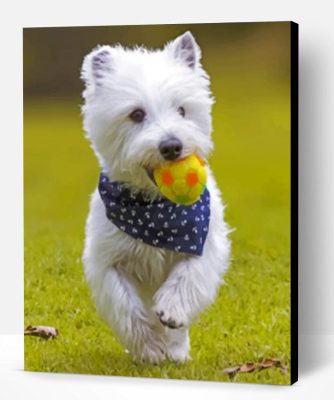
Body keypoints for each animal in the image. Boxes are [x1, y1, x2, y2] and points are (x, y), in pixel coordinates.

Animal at [81, 32, 232, 362]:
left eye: (182, 110)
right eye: (136, 114)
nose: (172, 146)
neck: (155, 210)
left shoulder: (202, 240)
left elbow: (189, 274)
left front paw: (172, 311)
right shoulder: (107, 260)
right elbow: (126, 306)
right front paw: (149, 348)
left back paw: (176, 350)